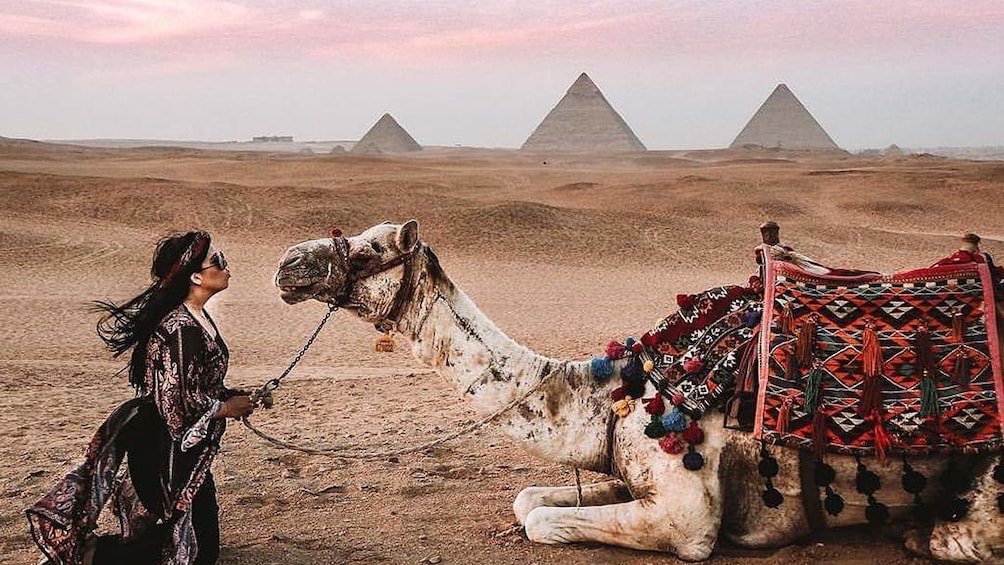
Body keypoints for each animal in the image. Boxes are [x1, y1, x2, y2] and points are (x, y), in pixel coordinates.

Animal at [275, 219, 1003, 561]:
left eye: (371, 250)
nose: (287, 264)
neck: (605, 394)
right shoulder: (626, 471)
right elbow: (528, 499)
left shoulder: (685, 513)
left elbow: (541, 519)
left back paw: (925, 532)